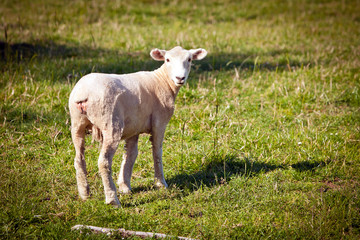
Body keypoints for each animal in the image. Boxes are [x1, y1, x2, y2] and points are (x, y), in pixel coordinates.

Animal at [68, 46, 207, 205]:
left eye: (189, 59)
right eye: (167, 59)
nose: (180, 78)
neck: (162, 81)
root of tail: (83, 93)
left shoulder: (134, 128)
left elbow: (131, 154)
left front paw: (125, 186)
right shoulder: (159, 121)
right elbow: (157, 151)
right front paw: (161, 183)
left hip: (77, 124)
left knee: (78, 159)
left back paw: (84, 193)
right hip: (111, 123)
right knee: (104, 162)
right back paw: (112, 199)